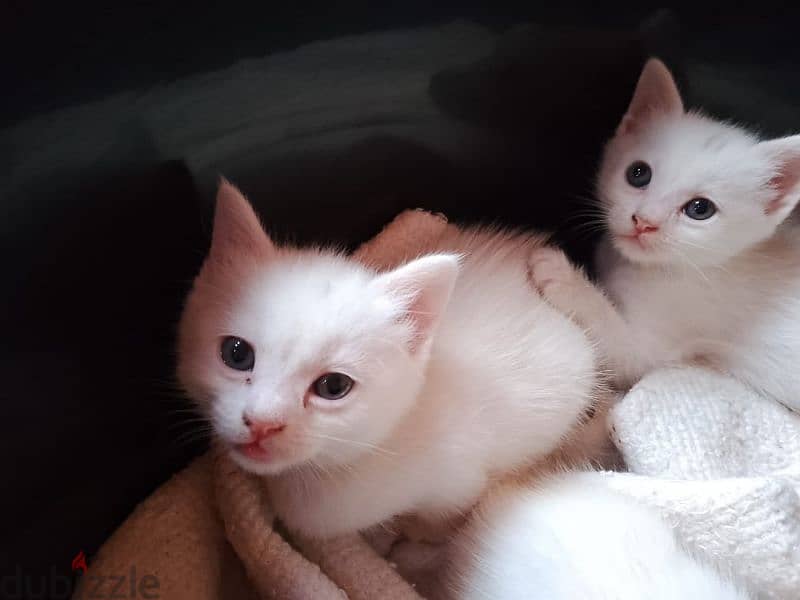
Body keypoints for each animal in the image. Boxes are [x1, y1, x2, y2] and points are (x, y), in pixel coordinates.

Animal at [177, 183, 600, 540]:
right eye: (236, 354)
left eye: (334, 386)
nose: (262, 424)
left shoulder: (456, 480)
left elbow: (438, 523)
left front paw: (406, 547)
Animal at [532, 58, 800, 412]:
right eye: (638, 173)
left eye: (700, 209)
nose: (644, 221)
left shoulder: (660, 343)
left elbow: (623, 350)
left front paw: (562, 275)